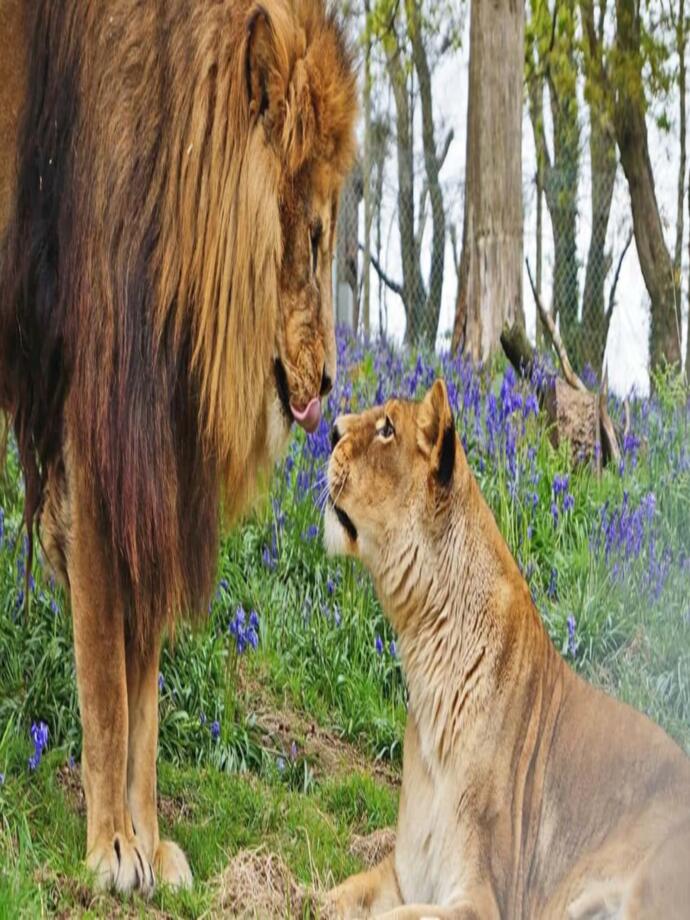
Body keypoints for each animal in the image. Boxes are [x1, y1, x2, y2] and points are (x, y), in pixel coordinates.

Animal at [0, 0, 356, 895]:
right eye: (314, 235)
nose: (332, 383)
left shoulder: (153, 453)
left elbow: (146, 678)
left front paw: (151, 841)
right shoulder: (99, 424)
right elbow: (105, 665)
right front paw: (109, 847)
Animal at [323, 380, 690, 919]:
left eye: (387, 428)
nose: (330, 429)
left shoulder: (482, 897)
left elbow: (398, 916)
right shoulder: (404, 874)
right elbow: (336, 895)